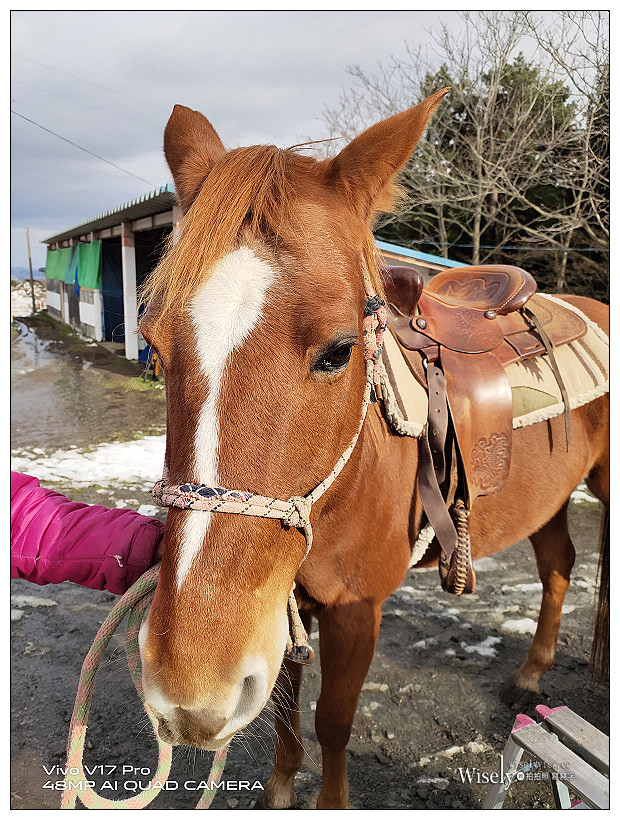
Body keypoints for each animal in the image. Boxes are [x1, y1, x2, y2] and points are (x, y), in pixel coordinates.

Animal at [136, 89, 609, 810]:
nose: (191, 693)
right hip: (549, 496)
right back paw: (531, 675)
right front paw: (279, 790)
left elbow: (333, 721)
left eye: (340, 350)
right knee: (559, 568)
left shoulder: (356, 609)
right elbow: (284, 710)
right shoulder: (286, 607)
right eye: (155, 348)